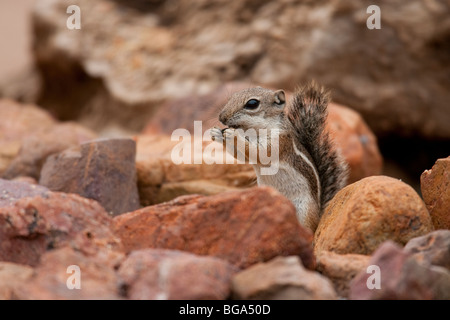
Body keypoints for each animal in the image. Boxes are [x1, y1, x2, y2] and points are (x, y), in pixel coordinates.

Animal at [211, 81, 348, 231]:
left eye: (252, 103)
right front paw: (217, 133)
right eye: (232, 97)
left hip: (304, 210)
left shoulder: (279, 140)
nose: (221, 118)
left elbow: (259, 152)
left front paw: (233, 135)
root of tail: (319, 214)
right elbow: (243, 156)